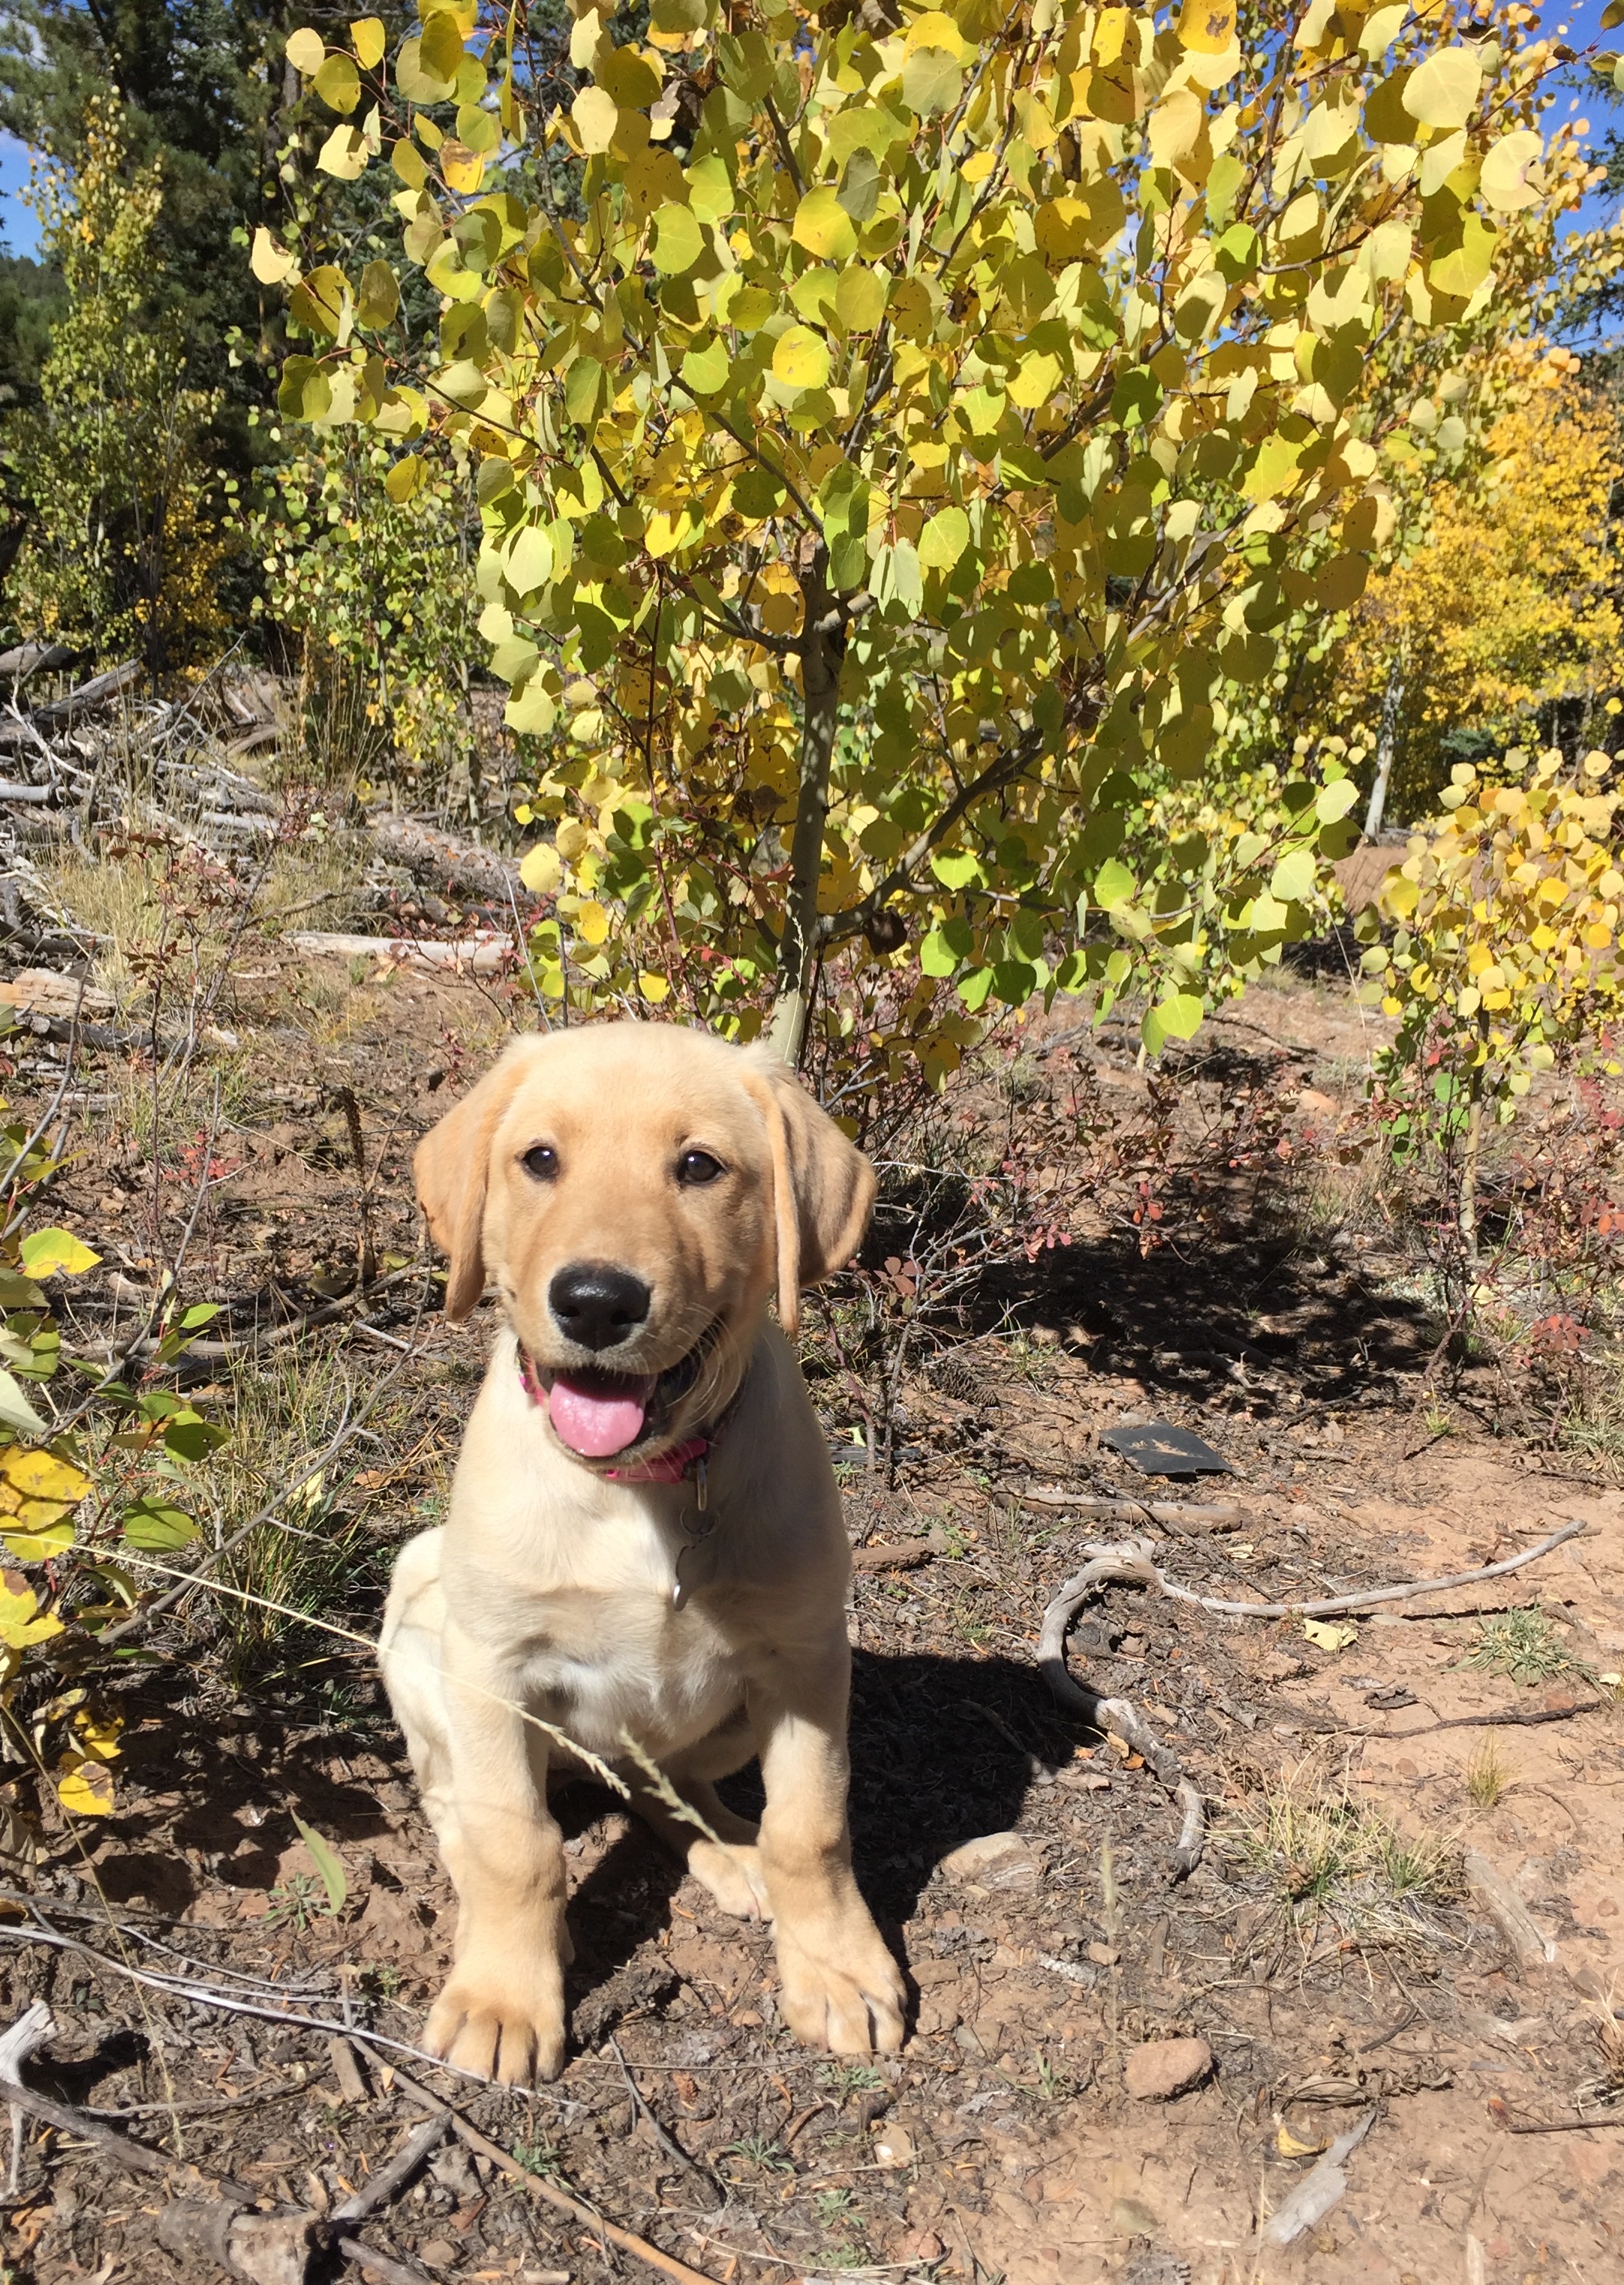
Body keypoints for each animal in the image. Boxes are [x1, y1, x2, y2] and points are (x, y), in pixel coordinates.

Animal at [383, 1028, 913, 2084]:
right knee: (458, 1801)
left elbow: (812, 1827)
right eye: (540, 1158)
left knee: (663, 1788)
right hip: (419, 1614)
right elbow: (513, 1841)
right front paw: (504, 1994)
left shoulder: (806, 1659)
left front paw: (836, 1966)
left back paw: (729, 1850)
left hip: (725, 1723)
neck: (642, 1481)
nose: (595, 1302)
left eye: (700, 1166)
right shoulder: (492, 1665)